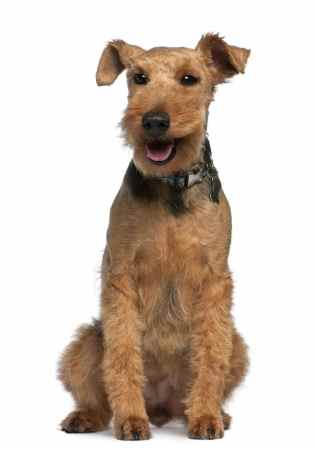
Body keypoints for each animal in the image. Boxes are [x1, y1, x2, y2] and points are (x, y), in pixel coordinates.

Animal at [58, 34, 252, 440]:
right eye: (139, 78)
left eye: (190, 79)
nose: (154, 121)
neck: (171, 187)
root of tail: (163, 406)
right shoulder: (122, 275)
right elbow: (122, 356)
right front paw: (131, 421)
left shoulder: (214, 279)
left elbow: (211, 355)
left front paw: (206, 419)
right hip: (86, 344)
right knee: (95, 394)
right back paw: (88, 417)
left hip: (238, 346)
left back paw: (212, 413)